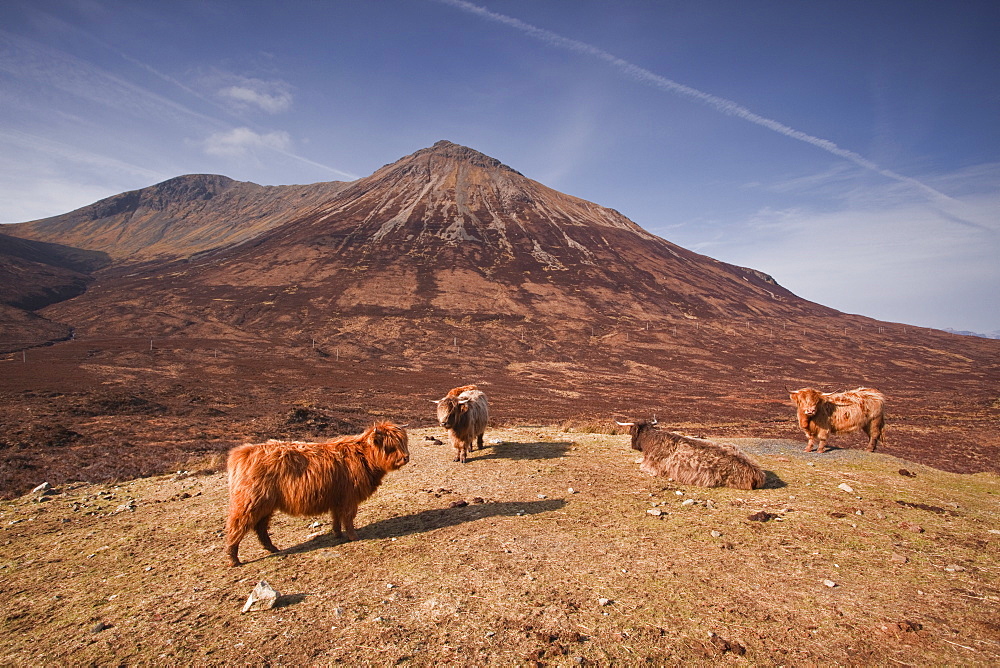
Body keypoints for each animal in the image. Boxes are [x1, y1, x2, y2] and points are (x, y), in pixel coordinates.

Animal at [227, 420, 410, 568]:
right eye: (390, 446)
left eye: (403, 442)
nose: (406, 458)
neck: (363, 456)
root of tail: (243, 452)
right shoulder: (349, 498)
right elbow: (348, 517)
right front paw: (353, 536)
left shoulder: (337, 497)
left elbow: (336, 517)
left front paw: (337, 534)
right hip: (250, 502)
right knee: (237, 525)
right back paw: (233, 559)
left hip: (266, 505)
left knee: (261, 527)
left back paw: (272, 548)